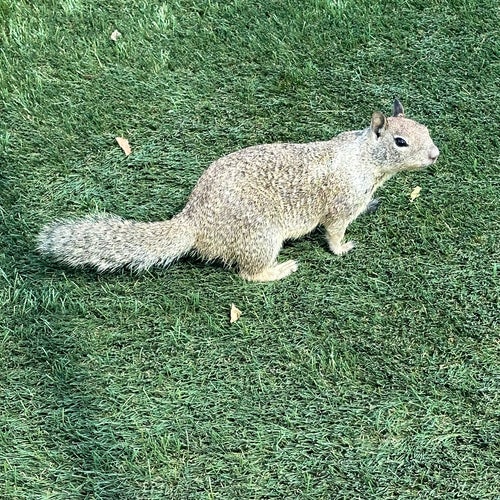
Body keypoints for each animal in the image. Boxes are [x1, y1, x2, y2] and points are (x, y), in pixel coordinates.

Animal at [37, 100, 439, 282]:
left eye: (424, 128)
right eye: (400, 141)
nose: (435, 154)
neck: (363, 158)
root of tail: (193, 222)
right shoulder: (342, 204)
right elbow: (335, 232)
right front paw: (343, 248)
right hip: (260, 237)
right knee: (249, 273)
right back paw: (281, 269)